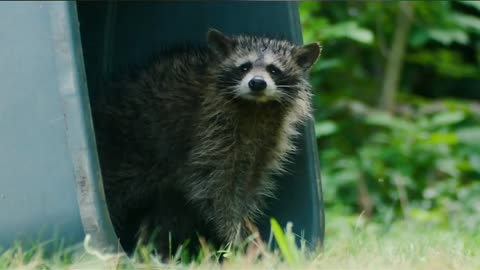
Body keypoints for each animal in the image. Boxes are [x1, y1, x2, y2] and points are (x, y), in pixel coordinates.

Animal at [92, 29, 320, 255]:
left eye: (274, 70)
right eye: (244, 67)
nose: (257, 83)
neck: (256, 106)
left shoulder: (265, 145)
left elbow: (248, 188)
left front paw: (245, 230)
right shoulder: (209, 134)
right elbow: (217, 191)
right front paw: (235, 237)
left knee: (169, 214)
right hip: (122, 149)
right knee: (115, 190)